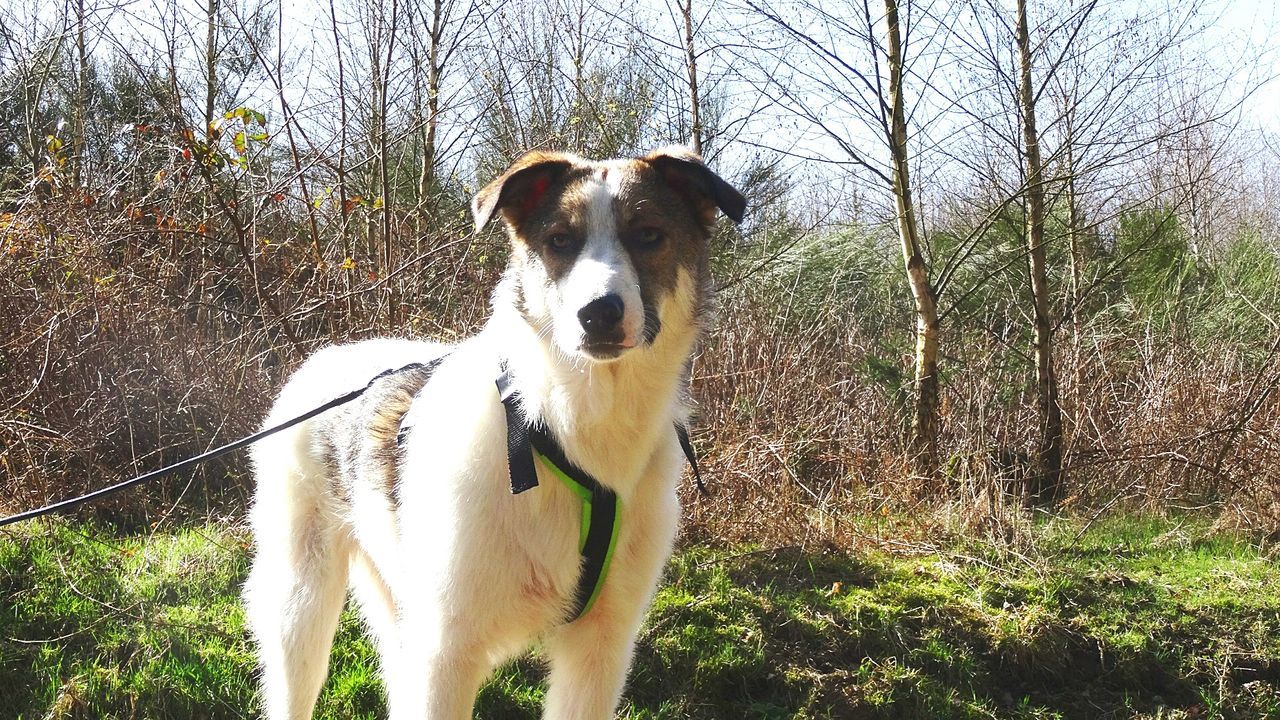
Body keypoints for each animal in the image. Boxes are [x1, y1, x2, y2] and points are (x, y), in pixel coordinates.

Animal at [243, 147, 747, 717]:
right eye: (560, 240)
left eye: (648, 235)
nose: (598, 313)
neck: (558, 427)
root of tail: (325, 359)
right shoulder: (445, 654)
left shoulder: (600, 649)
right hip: (301, 605)